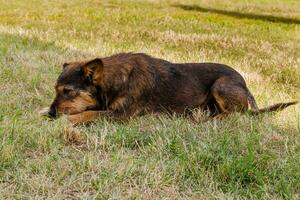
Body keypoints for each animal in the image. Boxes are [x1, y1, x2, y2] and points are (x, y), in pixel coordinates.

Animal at [44, 52, 298, 125]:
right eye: (55, 89)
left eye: (68, 91)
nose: (51, 112)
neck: (115, 80)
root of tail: (244, 83)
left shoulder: (121, 116)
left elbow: (88, 113)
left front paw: (65, 120)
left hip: (221, 84)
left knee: (236, 114)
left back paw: (208, 120)